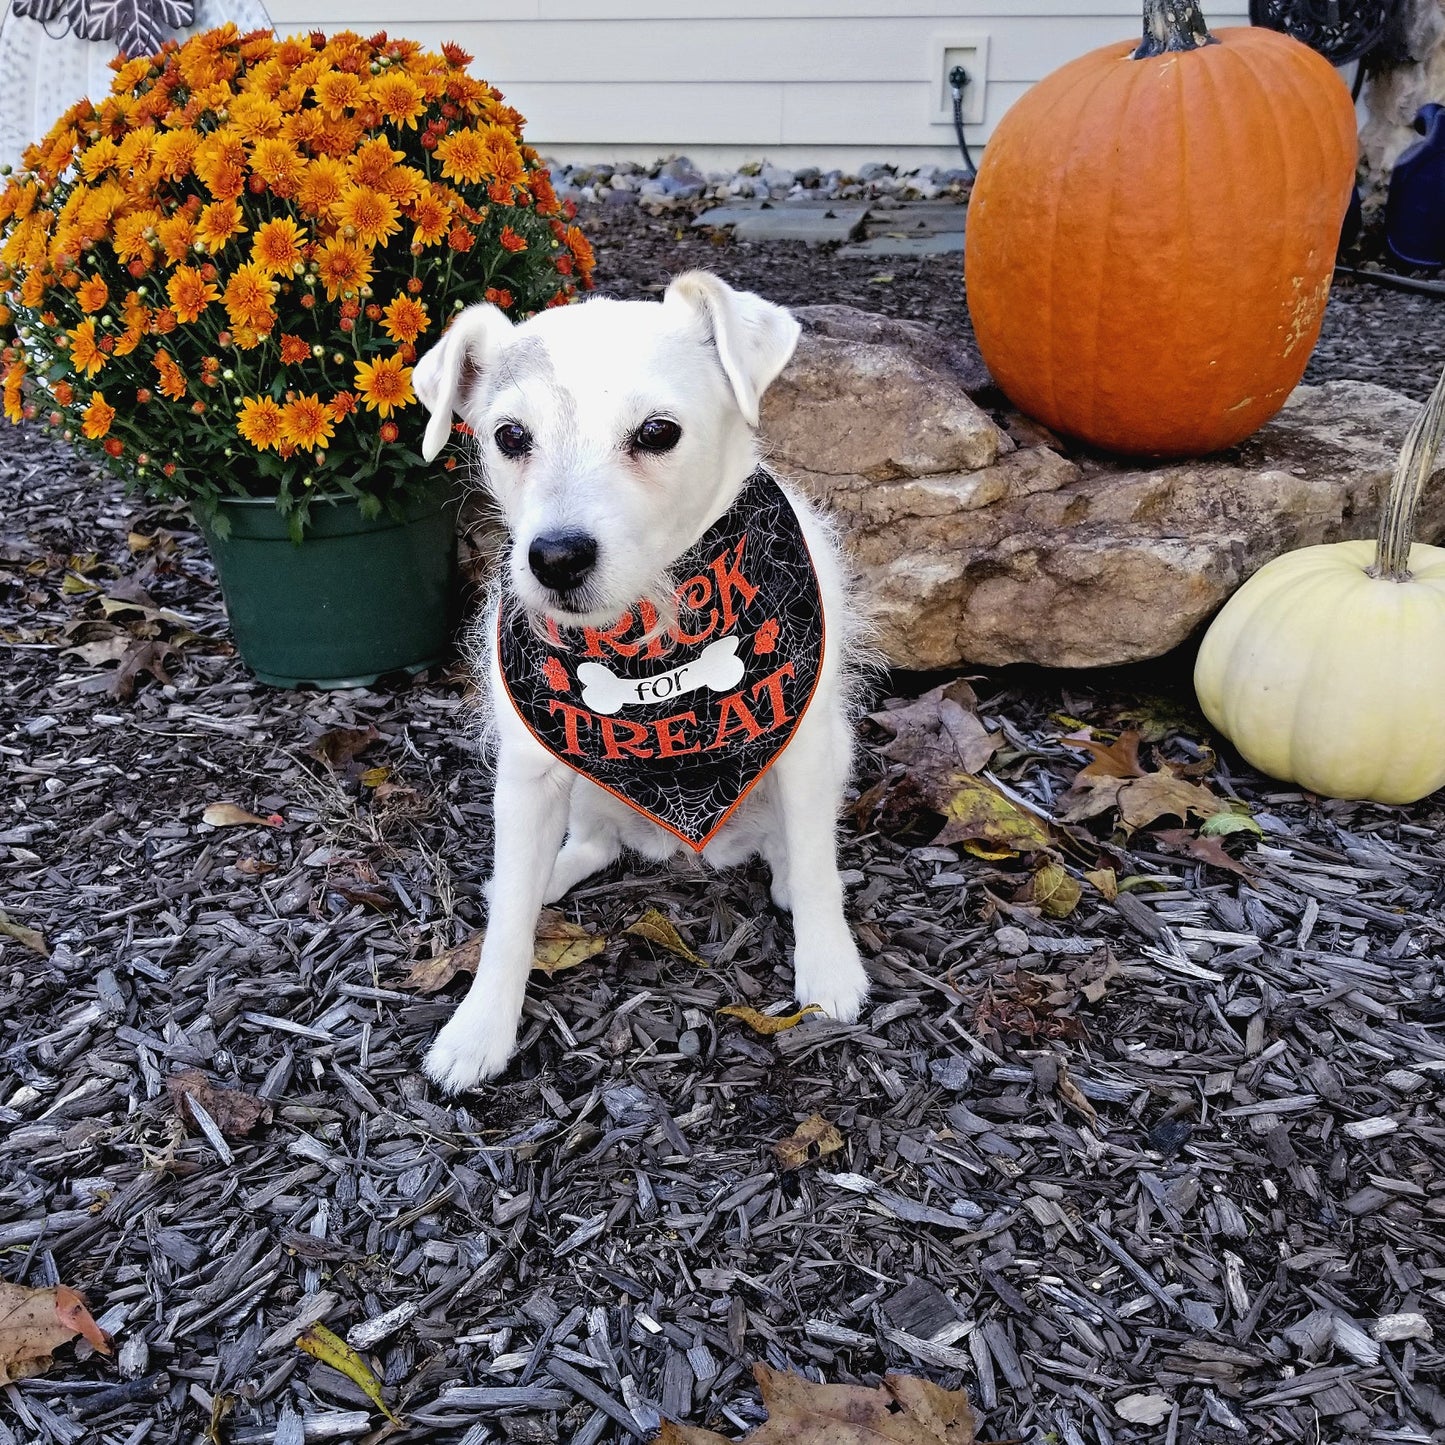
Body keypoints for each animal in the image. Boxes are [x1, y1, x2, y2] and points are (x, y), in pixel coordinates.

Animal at [419, 271, 867, 1086]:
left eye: (657, 433)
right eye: (509, 436)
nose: (555, 558)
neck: (653, 631)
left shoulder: (804, 741)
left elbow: (819, 863)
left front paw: (828, 966)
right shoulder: (528, 771)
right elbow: (507, 927)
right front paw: (480, 1025)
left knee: (796, 842)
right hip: (581, 781)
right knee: (588, 846)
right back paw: (549, 872)